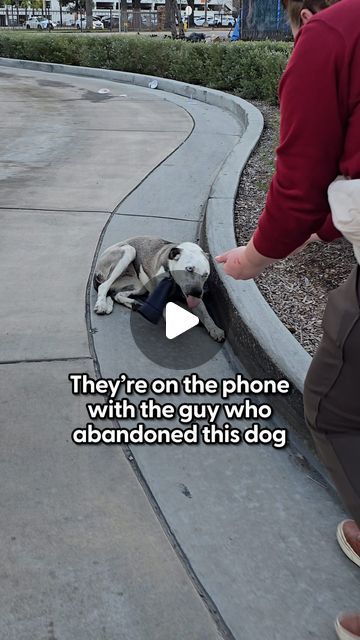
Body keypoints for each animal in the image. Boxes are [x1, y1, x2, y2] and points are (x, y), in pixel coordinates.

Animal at [94, 236, 225, 344]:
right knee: (104, 286)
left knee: (116, 294)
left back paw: (134, 303)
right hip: (128, 251)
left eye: (205, 275)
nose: (197, 293)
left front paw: (215, 329)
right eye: (189, 269)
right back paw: (101, 305)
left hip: (139, 286)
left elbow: (206, 314)